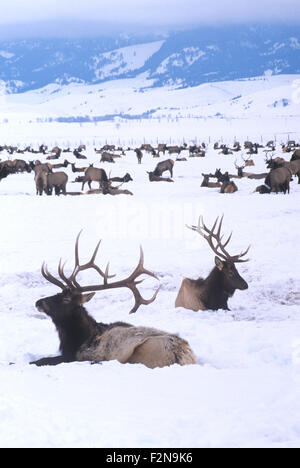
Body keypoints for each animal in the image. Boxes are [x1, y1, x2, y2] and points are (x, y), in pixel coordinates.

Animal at [29, 234, 195, 370]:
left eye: (66, 299)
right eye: (58, 293)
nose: (38, 302)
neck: (77, 338)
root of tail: (181, 355)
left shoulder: (74, 356)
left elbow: (40, 361)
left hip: (143, 353)